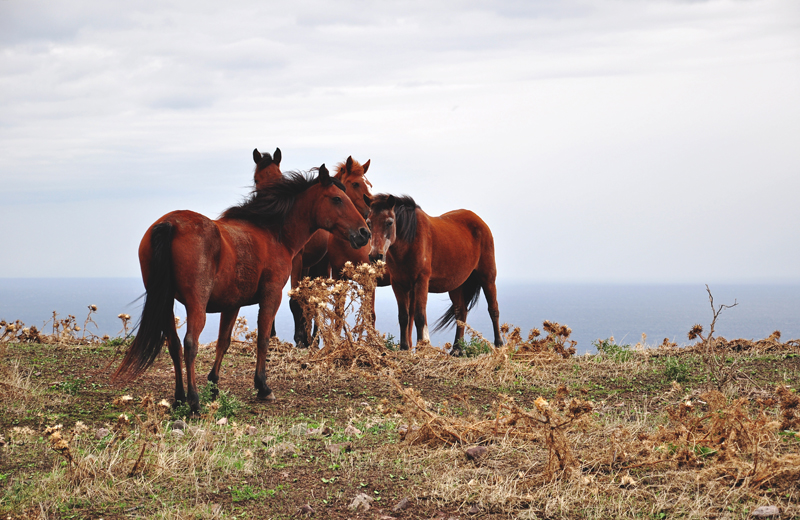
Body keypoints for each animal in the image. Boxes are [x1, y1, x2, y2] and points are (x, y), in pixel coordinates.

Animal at [111, 165, 368, 412]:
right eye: (337, 199)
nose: (364, 232)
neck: (272, 233)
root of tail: (170, 224)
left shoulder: (231, 304)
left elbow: (223, 342)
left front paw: (214, 385)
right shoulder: (271, 296)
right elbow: (263, 338)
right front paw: (262, 386)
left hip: (165, 303)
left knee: (174, 344)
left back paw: (179, 398)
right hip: (196, 305)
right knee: (190, 344)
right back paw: (194, 402)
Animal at [290, 156, 390, 348]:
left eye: (369, 185)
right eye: (356, 184)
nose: (370, 214)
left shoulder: (369, 282)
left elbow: (370, 316)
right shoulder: (339, 277)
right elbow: (338, 313)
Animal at [368, 195, 504, 354]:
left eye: (389, 222)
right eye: (369, 223)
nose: (375, 256)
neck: (410, 241)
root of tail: (480, 222)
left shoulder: (421, 281)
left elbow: (419, 317)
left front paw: (421, 349)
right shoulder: (398, 284)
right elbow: (403, 317)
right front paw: (404, 349)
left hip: (487, 277)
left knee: (493, 309)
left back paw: (499, 345)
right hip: (456, 285)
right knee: (461, 312)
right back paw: (457, 349)